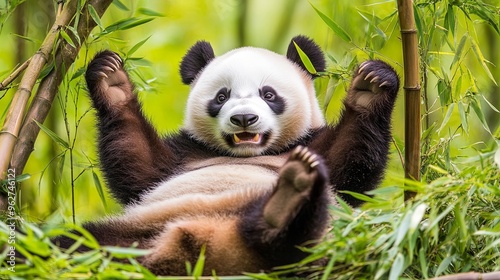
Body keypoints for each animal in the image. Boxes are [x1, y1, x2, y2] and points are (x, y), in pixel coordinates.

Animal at [62, 35, 400, 276]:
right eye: (221, 96)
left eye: (268, 94)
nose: (244, 119)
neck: (246, 154)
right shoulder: (186, 154)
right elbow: (138, 168)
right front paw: (111, 79)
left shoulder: (312, 145)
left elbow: (351, 164)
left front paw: (371, 85)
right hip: (133, 235)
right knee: (71, 244)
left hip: (324, 246)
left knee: (296, 249)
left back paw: (290, 198)